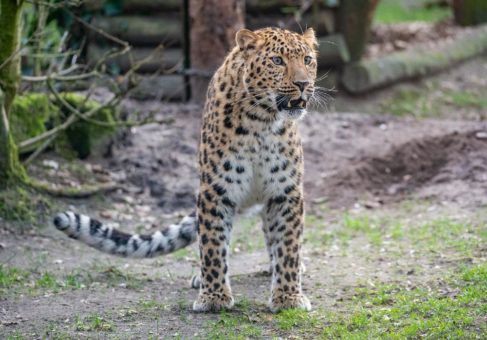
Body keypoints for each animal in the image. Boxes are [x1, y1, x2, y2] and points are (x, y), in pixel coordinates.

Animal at [54, 27, 320, 314]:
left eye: (307, 60)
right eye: (277, 61)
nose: (303, 84)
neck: (262, 121)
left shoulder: (285, 192)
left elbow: (288, 246)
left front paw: (288, 297)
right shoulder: (215, 190)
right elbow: (213, 245)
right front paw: (214, 296)